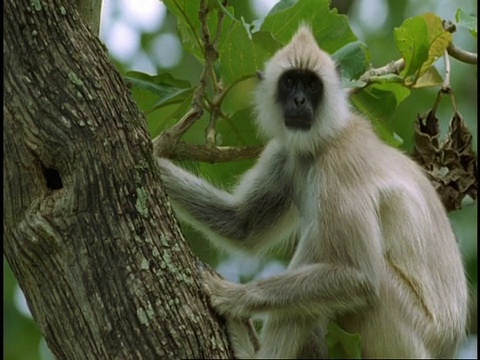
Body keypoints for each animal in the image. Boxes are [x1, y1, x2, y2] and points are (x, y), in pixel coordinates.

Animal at [158, 23, 468, 358]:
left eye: (312, 85)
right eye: (290, 82)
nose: (299, 101)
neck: (325, 140)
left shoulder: (340, 166)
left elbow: (361, 277)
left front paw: (234, 297)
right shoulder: (285, 153)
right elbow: (242, 225)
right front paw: (151, 156)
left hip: (405, 334)